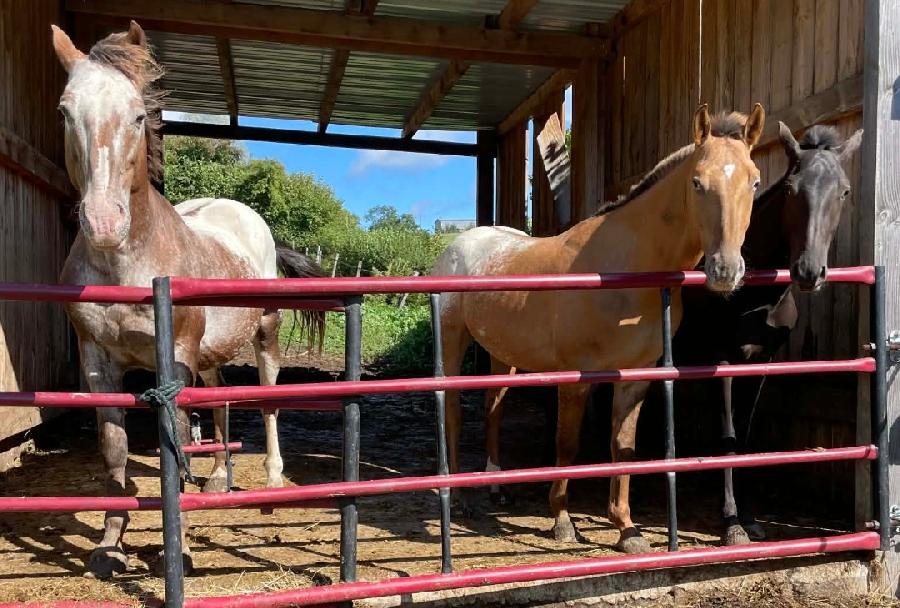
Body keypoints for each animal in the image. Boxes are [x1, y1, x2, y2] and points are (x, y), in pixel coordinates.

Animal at [51, 22, 324, 579]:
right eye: (66, 112)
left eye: (138, 114)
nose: (104, 222)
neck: (125, 265)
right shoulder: (97, 361)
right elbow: (114, 451)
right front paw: (109, 546)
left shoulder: (174, 358)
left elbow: (173, 443)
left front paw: (178, 552)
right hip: (211, 354)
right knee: (220, 399)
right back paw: (219, 478)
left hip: (264, 335)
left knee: (268, 401)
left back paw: (271, 483)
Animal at [433, 104, 765, 553]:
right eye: (697, 183)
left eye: (754, 181)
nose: (725, 271)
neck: (623, 269)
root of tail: (458, 245)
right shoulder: (577, 376)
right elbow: (567, 445)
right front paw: (562, 521)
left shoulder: (636, 375)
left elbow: (622, 447)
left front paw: (627, 529)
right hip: (453, 340)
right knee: (451, 409)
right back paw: (458, 496)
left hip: (502, 354)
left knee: (493, 408)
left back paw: (496, 486)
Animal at [672, 122, 863, 546]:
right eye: (791, 189)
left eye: (844, 191)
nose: (808, 272)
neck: (754, 295)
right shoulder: (721, 362)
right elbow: (727, 437)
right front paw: (730, 522)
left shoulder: (760, 363)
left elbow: (744, 437)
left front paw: (749, 516)